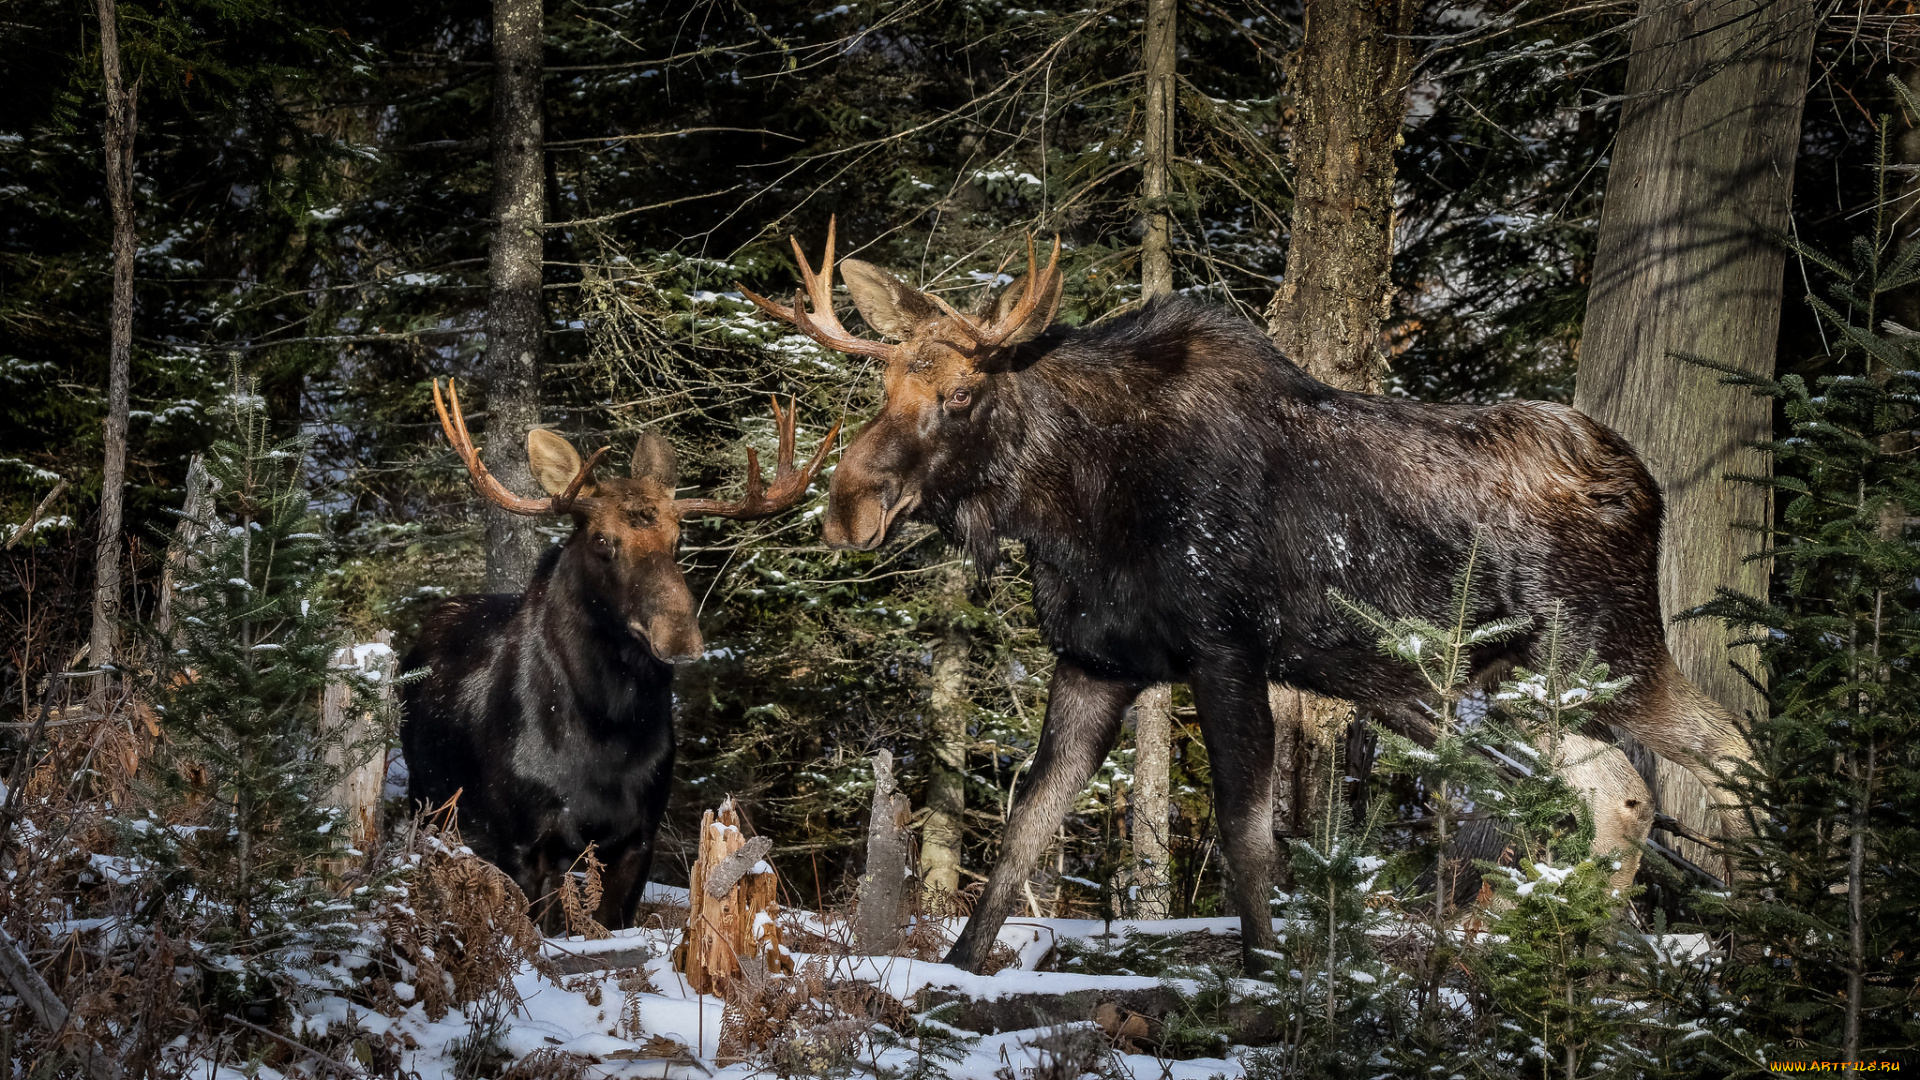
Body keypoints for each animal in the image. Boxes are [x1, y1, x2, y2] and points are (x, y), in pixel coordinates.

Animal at [401, 380, 837, 926]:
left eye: (678, 539)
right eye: (604, 540)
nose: (680, 637)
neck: (606, 731)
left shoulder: (639, 836)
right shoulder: (521, 841)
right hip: (428, 800)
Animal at [744, 222, 1758, 972]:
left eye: (959, 393)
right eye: (882, 383)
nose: (846, 508)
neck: (1073, 506)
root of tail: (1646, 487)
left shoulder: (1226, 648)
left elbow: (1245, 831)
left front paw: (1264, 970)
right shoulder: (1094, 660)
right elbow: (1027, 825)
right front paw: (958, 967)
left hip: (1607, 650)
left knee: (1726, 746)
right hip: (1501, 688)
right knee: (1619, 792)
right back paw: (1572, 950)